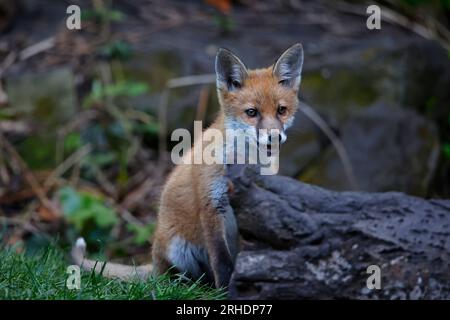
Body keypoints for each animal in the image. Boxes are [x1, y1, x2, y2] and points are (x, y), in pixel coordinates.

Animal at [72, 42, 304, 288]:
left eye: (281, 110)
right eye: (252, 112)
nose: (274, 137)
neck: (244, 161)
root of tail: (153, 262)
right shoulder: (212, 204)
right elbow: (222, 262)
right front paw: (226, 291)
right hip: (177, 249)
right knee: (175, 278)